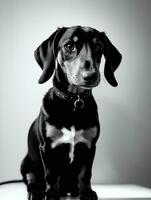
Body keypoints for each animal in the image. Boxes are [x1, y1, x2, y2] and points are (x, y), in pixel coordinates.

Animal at [20, 25, 122, 200]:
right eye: (69, 46)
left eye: (99, 47)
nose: (91, 76)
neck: (73, 102)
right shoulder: (47, 148)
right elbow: (51, 175)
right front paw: (50, 194)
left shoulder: (90, 147)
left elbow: (85, 174)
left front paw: (86, 192)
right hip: (26, 164)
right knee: (32, 178)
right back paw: (35, 191)